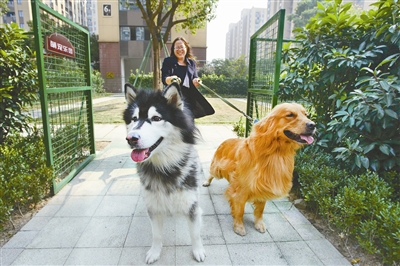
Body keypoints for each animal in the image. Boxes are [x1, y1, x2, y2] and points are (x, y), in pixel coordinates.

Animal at [124, 83, 206, 264]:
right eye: (134, 119)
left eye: (156, 118)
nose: (131, 138)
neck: (164, 167)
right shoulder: (153, 207)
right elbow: (156, 235)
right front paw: (155, 252)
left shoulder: (191, 205)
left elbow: (195, 233)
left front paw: (198, 250)